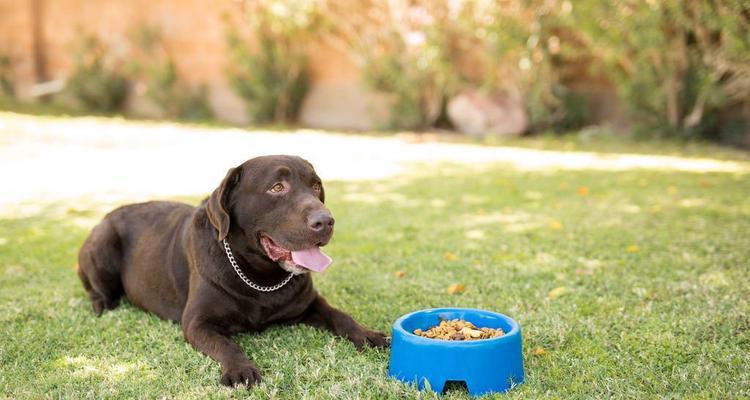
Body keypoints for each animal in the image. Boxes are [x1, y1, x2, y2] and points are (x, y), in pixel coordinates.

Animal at [79, 155, 390, 386]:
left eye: (316, 186)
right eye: (277, 187)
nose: (325, 221)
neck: (260, 276)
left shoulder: (310, 303)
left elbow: (341, 316)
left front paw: (367, 335)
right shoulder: (197, 323)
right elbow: (227, 345)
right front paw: (240, 370)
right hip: (103, 243)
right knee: (95, 289)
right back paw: (102, 304)